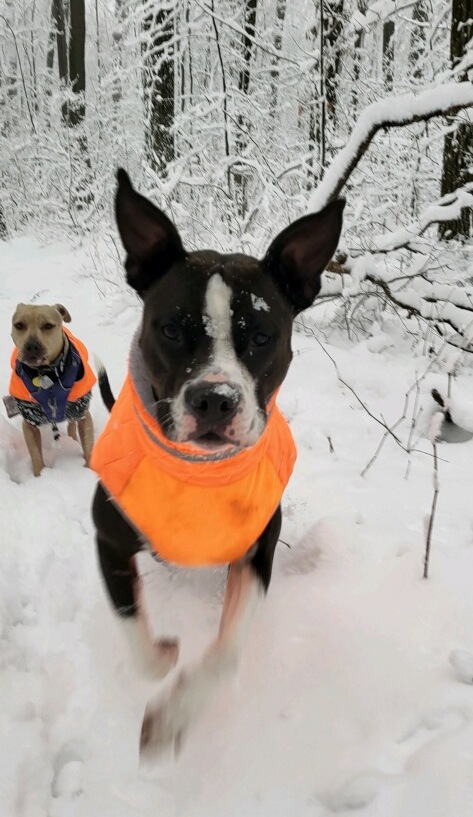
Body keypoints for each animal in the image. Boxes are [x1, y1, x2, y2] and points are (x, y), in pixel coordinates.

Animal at [9, 304, 96, 472]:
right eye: (19, 325)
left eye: (48, 326)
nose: (31, 346)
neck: (45, 373)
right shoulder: (30, 422)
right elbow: (36, 456)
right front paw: (40, 475)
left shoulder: (83, 414)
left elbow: (89, 448)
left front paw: (91, 471)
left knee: (71, 424)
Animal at [92, 171, 342, 760]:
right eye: (171, 329)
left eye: (261, 336)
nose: (214, 400)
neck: (199, 472)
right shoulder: (108, 537)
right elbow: (133, 629)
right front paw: (162, 654)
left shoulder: (255, 550)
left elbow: (226, 655)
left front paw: (174, 715)